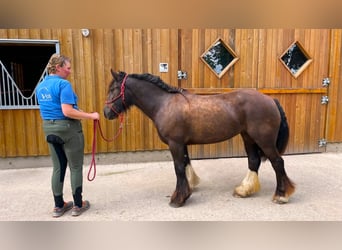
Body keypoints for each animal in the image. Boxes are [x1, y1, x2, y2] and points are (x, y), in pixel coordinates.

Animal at [103, 70, 296, 207]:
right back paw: (244, 190)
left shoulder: (175, 143)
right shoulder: (181, 144)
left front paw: (178, 199)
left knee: (277, 162)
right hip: (248, 137)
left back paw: (281, 196)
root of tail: (270, 100)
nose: (106, 113)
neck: (164, 104)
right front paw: (189, 187)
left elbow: (178, 168)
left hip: (264, 140)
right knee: (254, 161)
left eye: (113, 89)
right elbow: (186, 163)